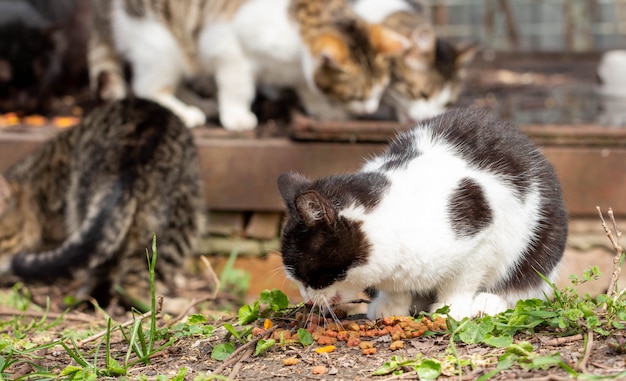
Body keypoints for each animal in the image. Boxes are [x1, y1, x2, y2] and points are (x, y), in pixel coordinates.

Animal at [89, 0, 410, 129]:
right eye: (358, 95)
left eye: (380, 91)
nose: (370, 109)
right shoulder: (229, 46)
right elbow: (238, 86)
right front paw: (236, 116)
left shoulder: (300, 71)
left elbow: (308, 87)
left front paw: (325, 109)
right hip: (161, 46)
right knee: (148, 88)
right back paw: (185, 112)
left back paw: (201, 103)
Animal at [276, 108, 564, 320]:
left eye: (306, 274)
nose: (307, 299)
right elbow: (395, 289)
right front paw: (390, 307)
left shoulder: (479, 237)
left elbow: (461, 281)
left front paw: (450, 310)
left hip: (542, 242)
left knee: (526, 286)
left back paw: (487, 303)